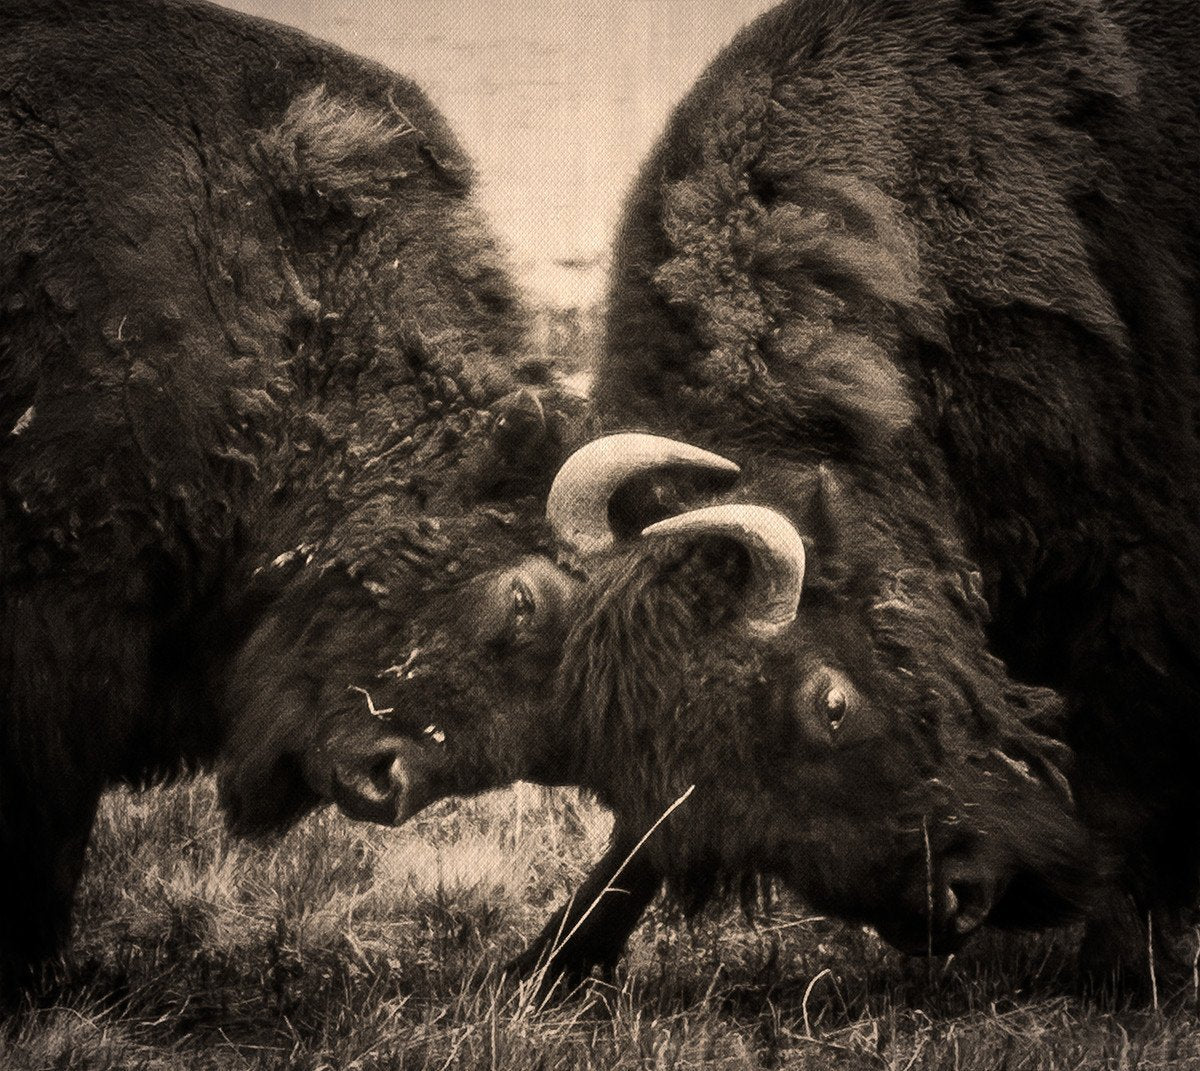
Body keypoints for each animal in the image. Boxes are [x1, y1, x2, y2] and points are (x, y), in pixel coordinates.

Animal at [388, 0, 1200, 995]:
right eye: (705, 800)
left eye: (832, 704)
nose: (955, 901)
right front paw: (543, 965)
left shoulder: (1130, 578)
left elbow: (1129, 764)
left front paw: (1123, 966)